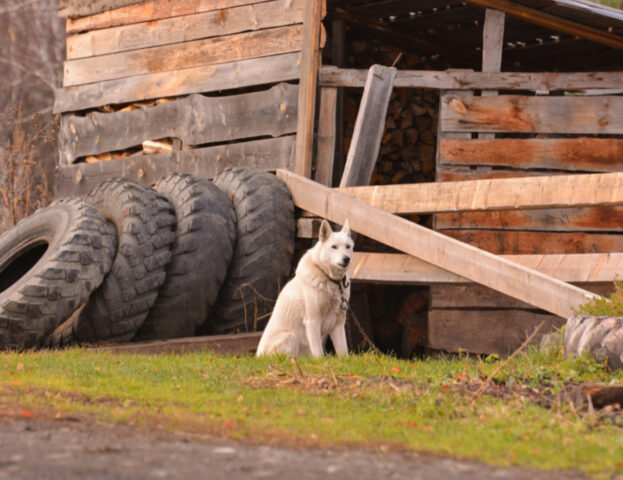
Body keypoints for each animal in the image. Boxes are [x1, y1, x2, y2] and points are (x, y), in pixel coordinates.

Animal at [256, 219, 354, 358]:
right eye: (334, 247)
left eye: (348, 246)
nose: (346, 259)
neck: (331, 280)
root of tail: (258, 356)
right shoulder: (313, 321)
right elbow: (319, 354)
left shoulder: (338, 324)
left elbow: (343, 353)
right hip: (290, 337)